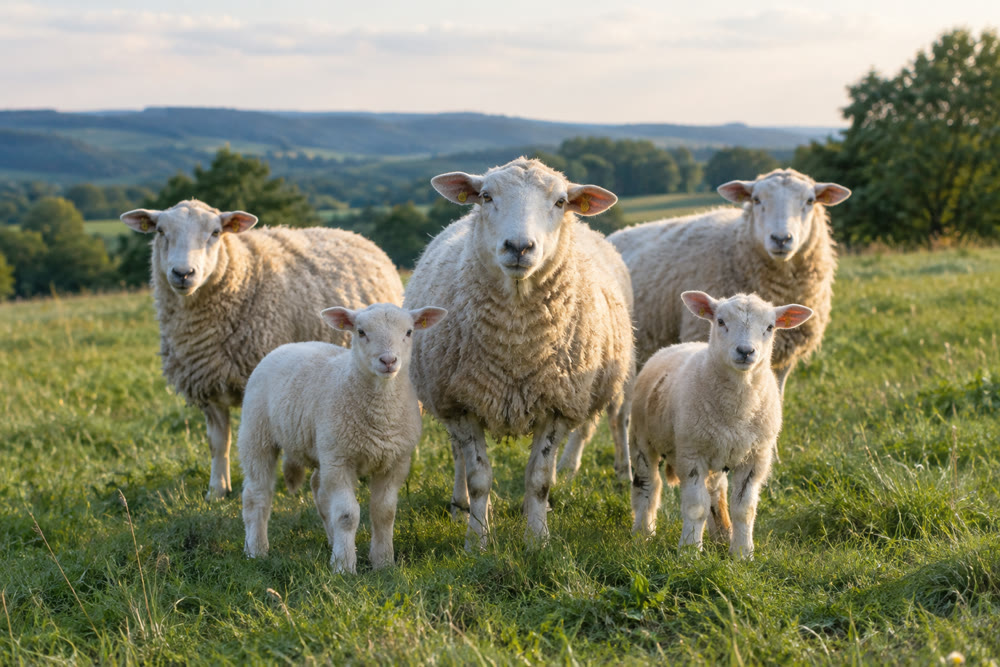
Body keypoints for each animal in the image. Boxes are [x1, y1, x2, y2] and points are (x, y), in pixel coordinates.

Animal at [120, 199, 404, 500]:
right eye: (161, 231)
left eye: (215, 232)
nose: (183, 273)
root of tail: (351, 234)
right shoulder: (208, 385)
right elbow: (217, 443)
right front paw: (217, 490)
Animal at [240, 303, 447, 573]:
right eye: (361, 332)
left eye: (409, 332)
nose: (388, 360)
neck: (381, 416)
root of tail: (291, 344)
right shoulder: (340, 461)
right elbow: (347, 515)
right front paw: (344, 566)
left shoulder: (395, 462)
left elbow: (384, 513)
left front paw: (383, 562)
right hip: (257, 434)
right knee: (256, 494)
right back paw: (256, 550)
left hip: (321, 448)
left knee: (319, 489)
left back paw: (331, 540)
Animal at [403, 157, 635, 548]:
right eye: (486, 196)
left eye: (560, 201)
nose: (519, 247)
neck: (517, 344)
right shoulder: (462, 404)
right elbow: (478, 478)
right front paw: (477, 540)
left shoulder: (558, 404)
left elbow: (539, 478)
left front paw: (537, 539)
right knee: (458, 458)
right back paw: (459, 507)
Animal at [629, 291, 813, 559]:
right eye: (721, 321)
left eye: (770, 327)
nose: (746, 351)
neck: (737, 410)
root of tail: (676, 346)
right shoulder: (692, 453)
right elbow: (696, 506)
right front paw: (690, 552)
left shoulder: (756, 457)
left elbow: (744, 508)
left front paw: (742, 553)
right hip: (643, 439)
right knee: (648, 485)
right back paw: (643, 533)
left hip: (718, 450)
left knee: (716, 492)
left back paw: (722, 536)